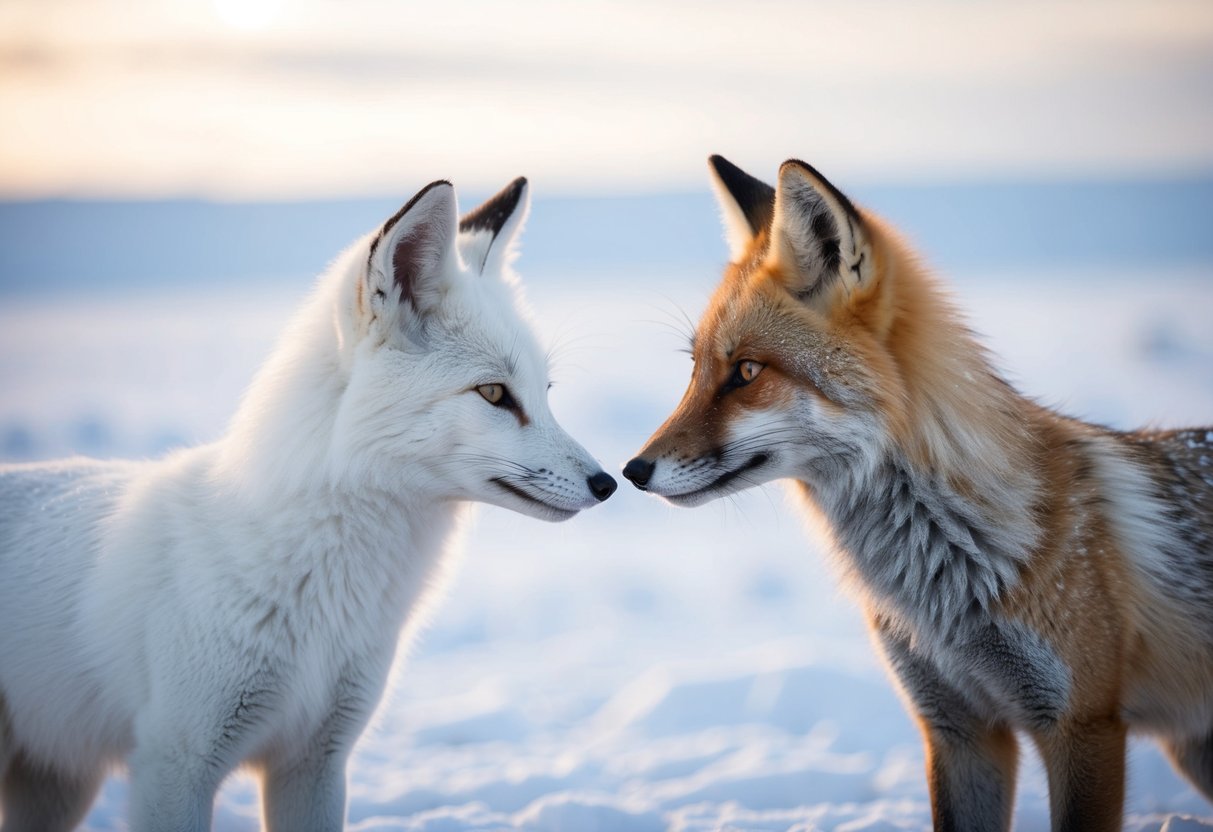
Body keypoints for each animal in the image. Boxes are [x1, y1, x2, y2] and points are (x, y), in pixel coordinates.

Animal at [0, 177, 617, 832]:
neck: (323, 591)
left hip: (58, 787)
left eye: (544, 393)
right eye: (495, 393)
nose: (608, 482)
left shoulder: (317, 758)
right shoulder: (176, 762)